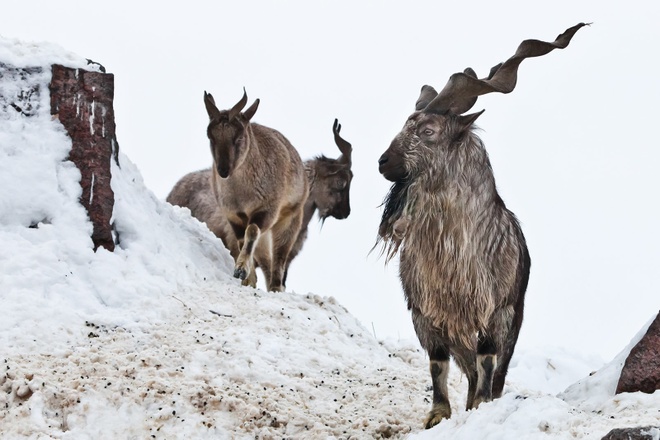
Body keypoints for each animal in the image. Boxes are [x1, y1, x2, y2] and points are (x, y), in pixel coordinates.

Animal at [376, 22, 588, 428]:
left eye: (428, 131)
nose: (383, 162)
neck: (455, 252)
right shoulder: (426, 315)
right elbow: (437, 364)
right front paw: (437, 415)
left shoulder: (497, 312)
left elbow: (488, 361)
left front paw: (479, 408)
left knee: (491, 370)